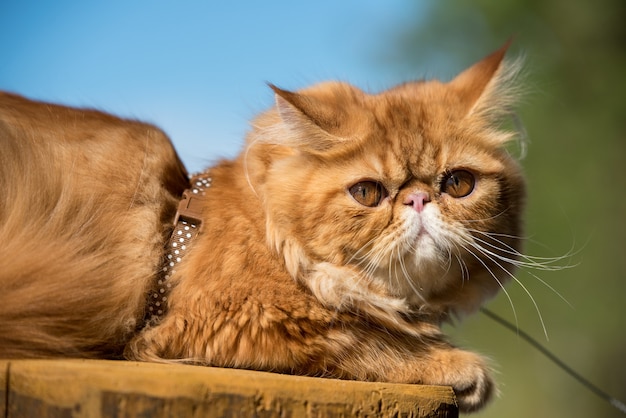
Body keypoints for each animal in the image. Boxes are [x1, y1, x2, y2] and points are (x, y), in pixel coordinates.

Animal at [0, 44, 524, 414]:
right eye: (367, 192)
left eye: (458, 184)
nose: (417, 200)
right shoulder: (226, 320)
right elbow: (364, 339)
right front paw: (456, 364)